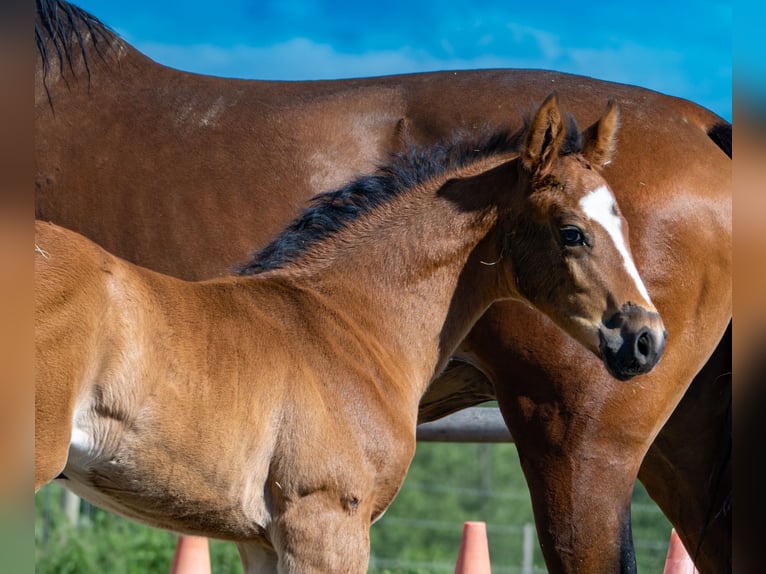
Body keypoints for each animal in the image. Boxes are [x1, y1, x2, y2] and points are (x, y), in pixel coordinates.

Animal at [34, 1, 731, 571]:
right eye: (571, 232)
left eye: (623, 223)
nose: (645, 337)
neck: (342, 317)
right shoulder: (321, 523)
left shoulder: (273, 535)